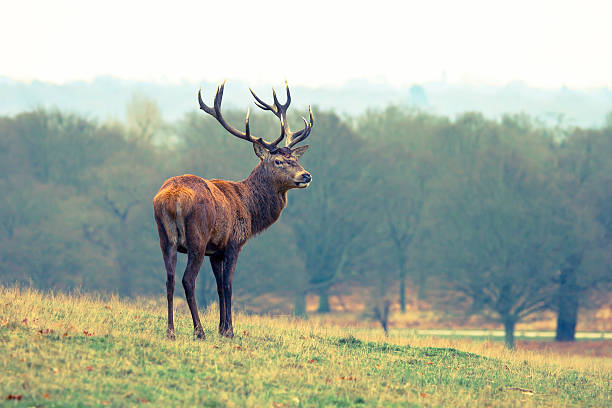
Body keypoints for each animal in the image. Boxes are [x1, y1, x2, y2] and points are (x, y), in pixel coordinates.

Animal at [151, 80, 314, 338]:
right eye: (278, 161)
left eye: (295, 159)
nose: (305, 175)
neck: (249, 209)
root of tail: (172, 198)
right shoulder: (233, 243)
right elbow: (228, 285)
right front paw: (228, 331)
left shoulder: (215, 251)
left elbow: (218, 287)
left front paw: (222, 327)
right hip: (197, 238)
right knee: (188, 280)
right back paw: (199, 331)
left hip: (165, 238)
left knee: (169, 279)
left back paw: (170, 331)